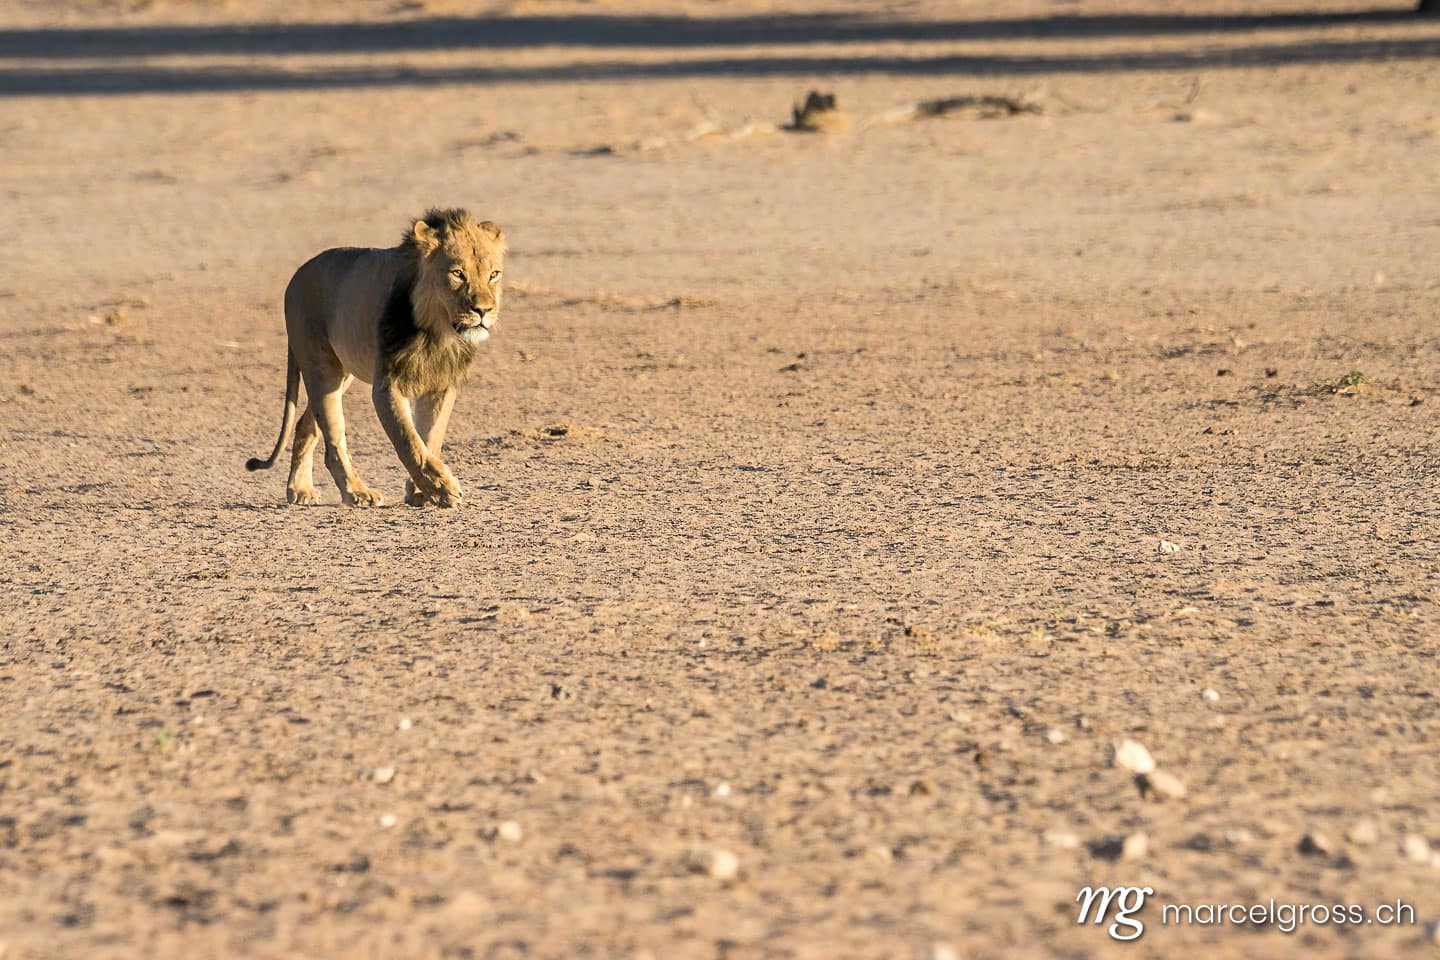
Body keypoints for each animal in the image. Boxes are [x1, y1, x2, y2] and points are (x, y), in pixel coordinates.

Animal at [246, 208, 505, 508]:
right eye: (457, 273)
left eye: (494, 274)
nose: (484, 310)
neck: (437, 331)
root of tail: (297, 275)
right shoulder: (387, 384)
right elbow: (408, 440)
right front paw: (441, 488)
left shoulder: (442, 383)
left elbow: (430, 437)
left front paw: (422, 491)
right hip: (321, 368)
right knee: (333, 439)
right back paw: (356, 492)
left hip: (341, 375)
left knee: (305, 425)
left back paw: (300, 489)